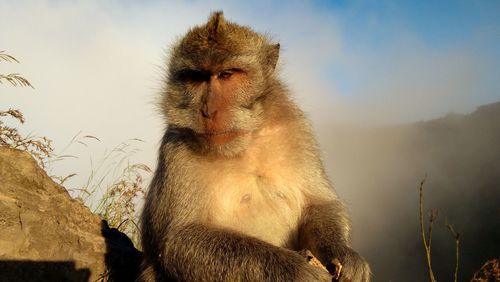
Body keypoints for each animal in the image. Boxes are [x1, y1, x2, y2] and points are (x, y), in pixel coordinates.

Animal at [139, 11, 370, 282]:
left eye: (227, 74)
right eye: (196, 78)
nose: (208, 110)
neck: (244, 144)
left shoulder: (296, 128)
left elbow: (320, 202)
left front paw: (344, 255)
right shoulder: (176, 150)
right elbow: (179, 239)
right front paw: (297, 270)